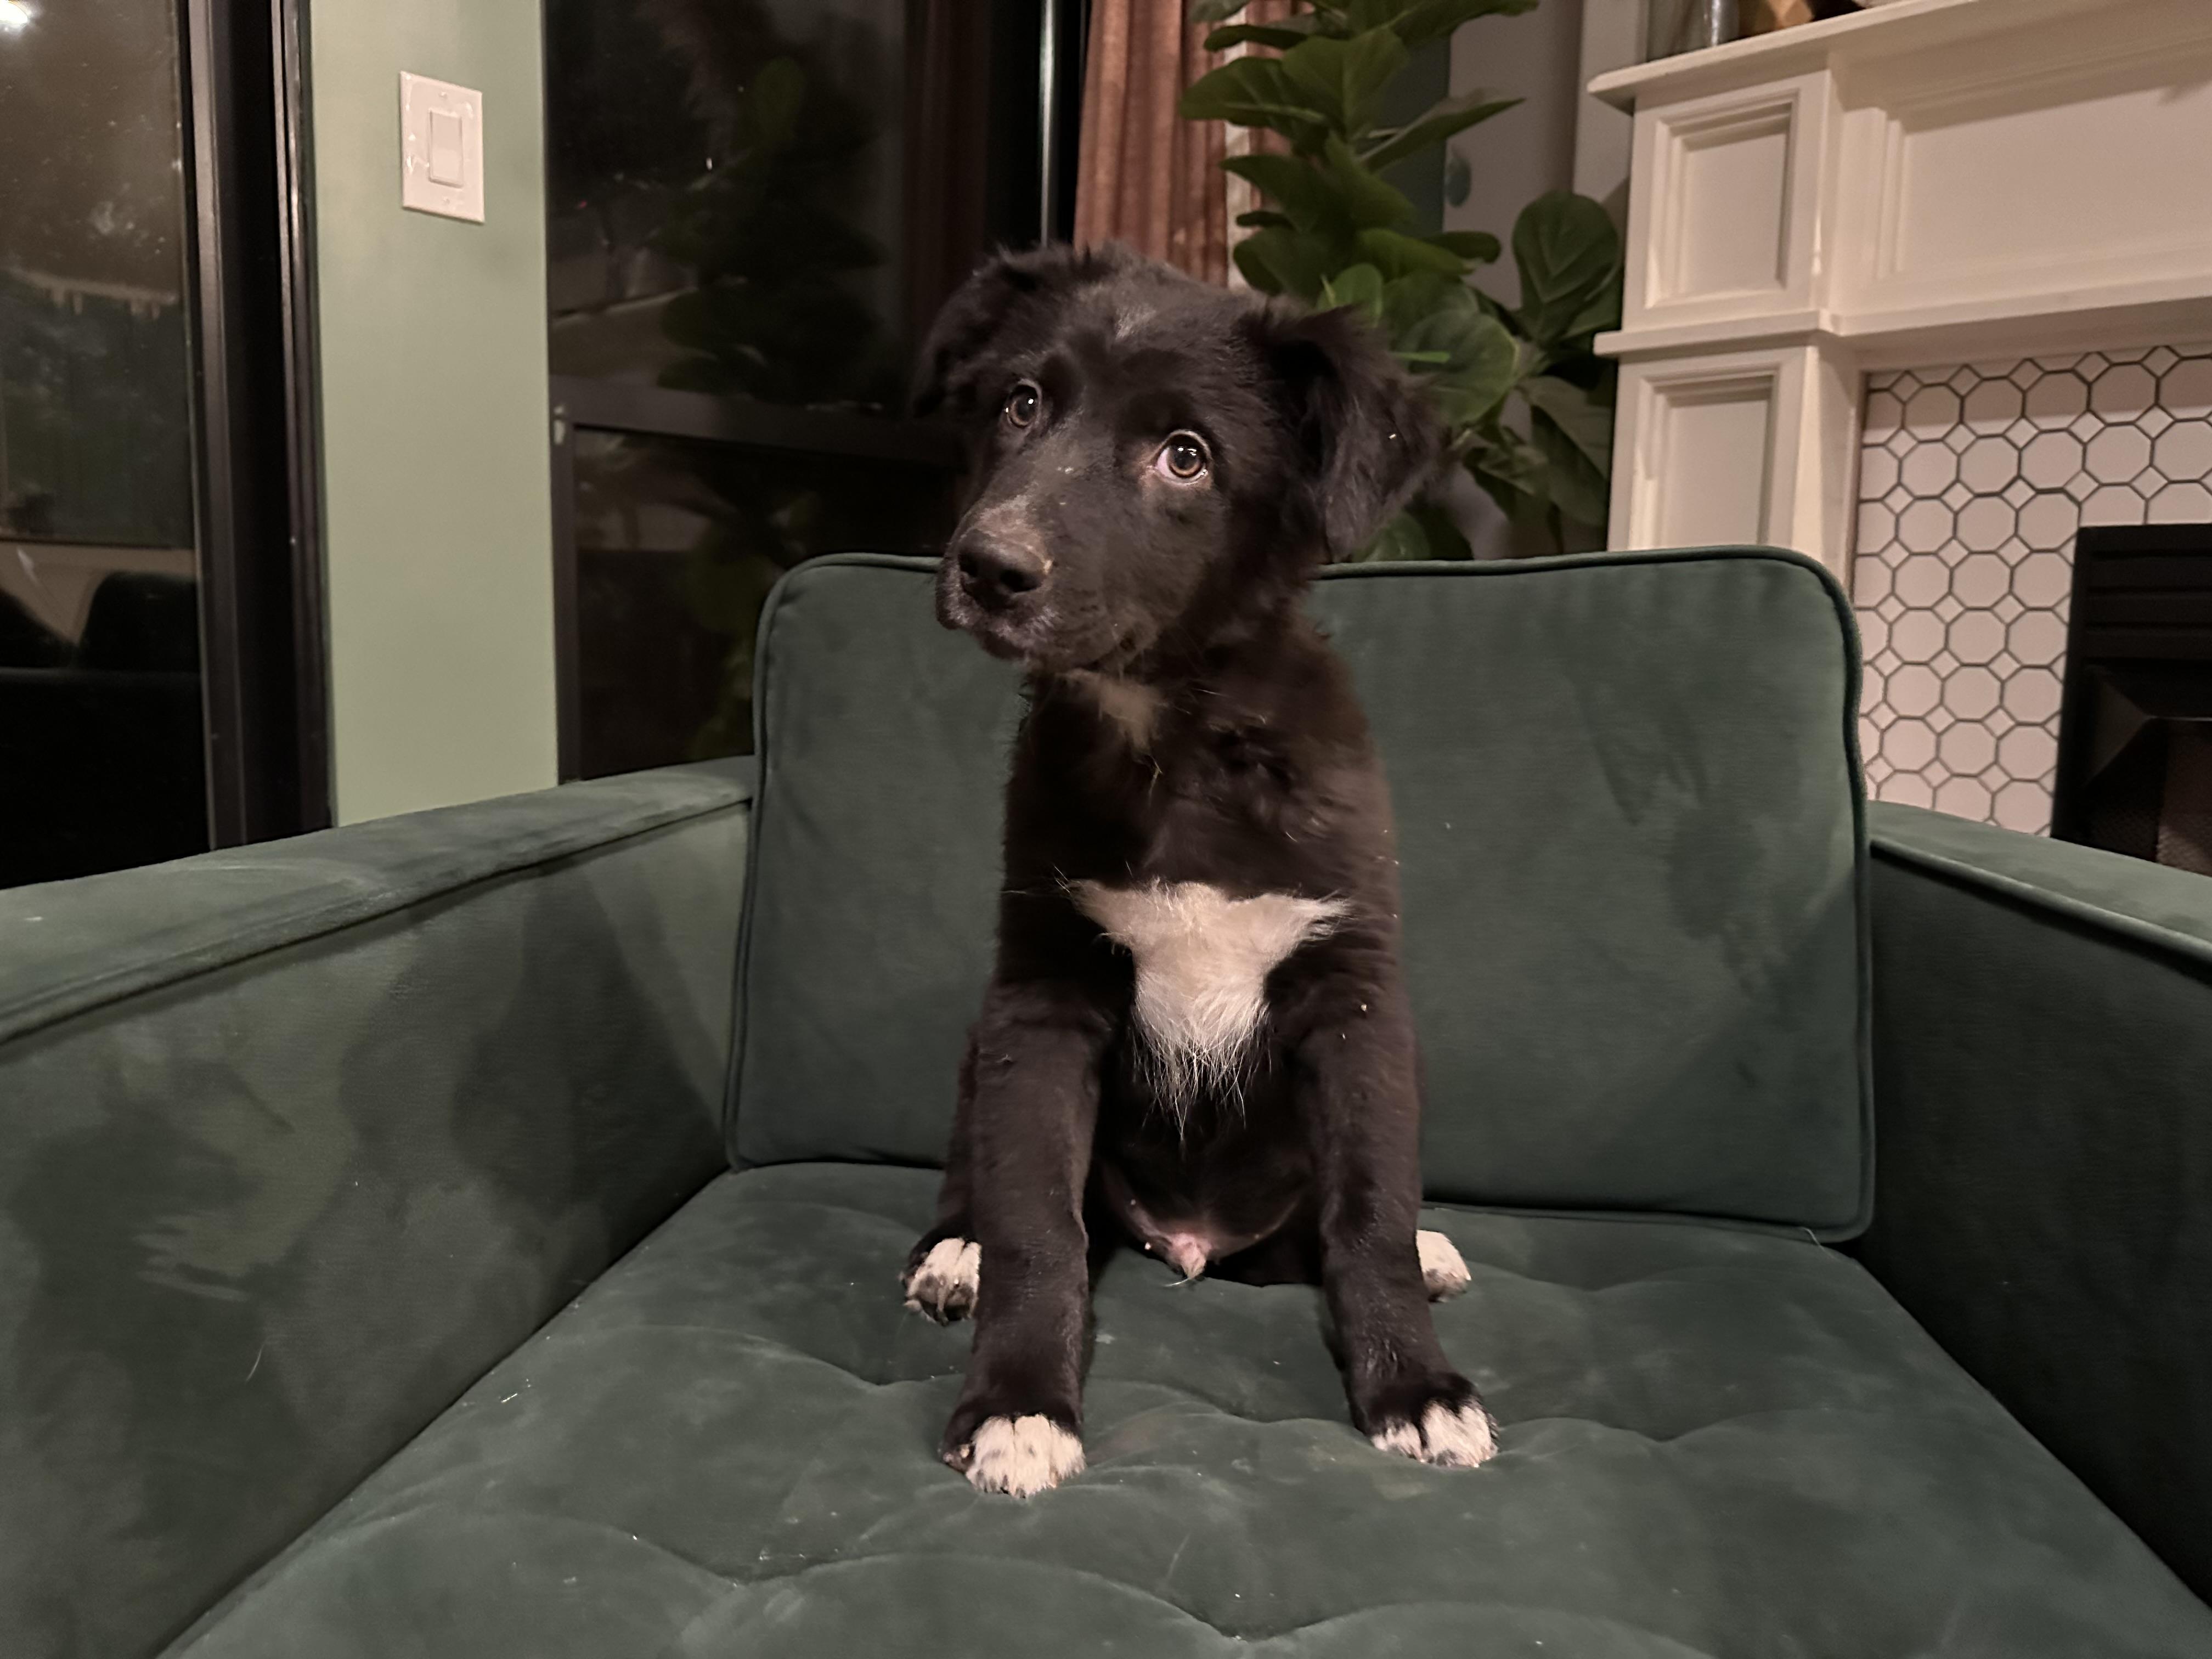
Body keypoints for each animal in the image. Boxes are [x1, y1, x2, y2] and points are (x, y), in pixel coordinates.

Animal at [902, 243, 1497, 1497]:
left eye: (1187, 456)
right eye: (1022, 403)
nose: (989, 566)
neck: (1171, 740)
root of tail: (1196, 1244)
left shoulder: (1352, 995)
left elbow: (1370, 1211)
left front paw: (1414, 1386)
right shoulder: (1042, 995)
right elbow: (1037, 1221)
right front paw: (1019, 1403)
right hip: (986, 1042)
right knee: (982, 1177)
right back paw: (952, 1251)